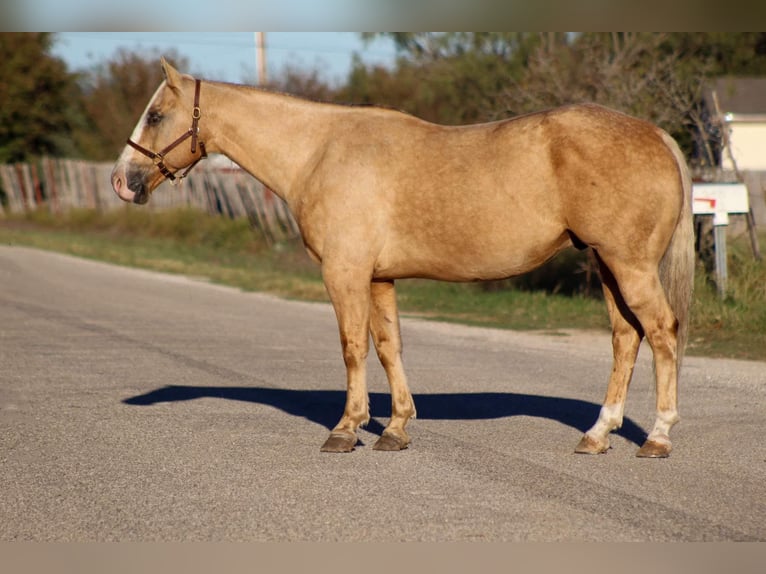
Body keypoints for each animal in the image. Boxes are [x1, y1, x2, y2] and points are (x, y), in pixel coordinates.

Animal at [111, 58, 694, 457]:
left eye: (156, 114)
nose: (122, 181)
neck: (320, 151)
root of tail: (655, 134)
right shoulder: (378, 279)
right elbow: (389, 347)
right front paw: (394, 428)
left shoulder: (344, 273)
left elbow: (353, 348)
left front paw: (346, 429)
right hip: (607, 266)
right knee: (626, 338)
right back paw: (597, 435)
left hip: (629, 265)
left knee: (662, 333)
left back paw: (659, 437)